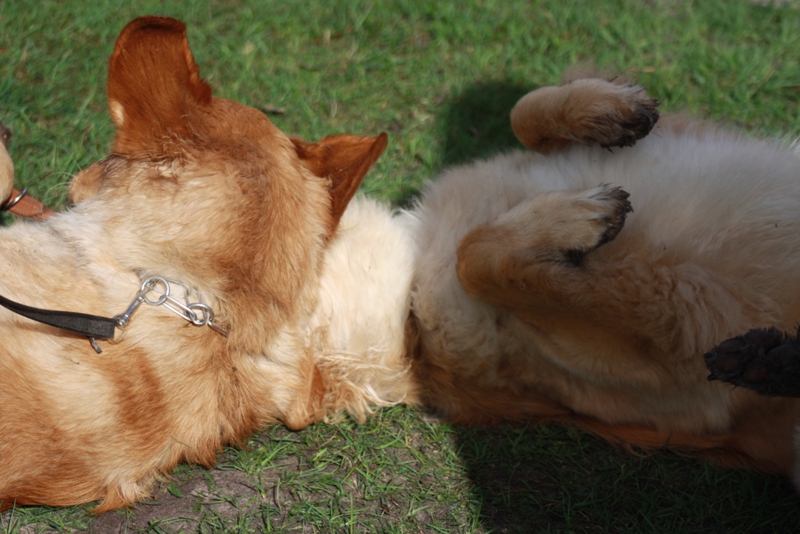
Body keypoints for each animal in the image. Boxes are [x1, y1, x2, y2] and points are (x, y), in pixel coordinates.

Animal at [306, 75, 800, 486]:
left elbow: (522, 112)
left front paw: (609, 109)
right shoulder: (644, 362)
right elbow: (478, 255)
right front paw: (575, 219)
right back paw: (770, 361)